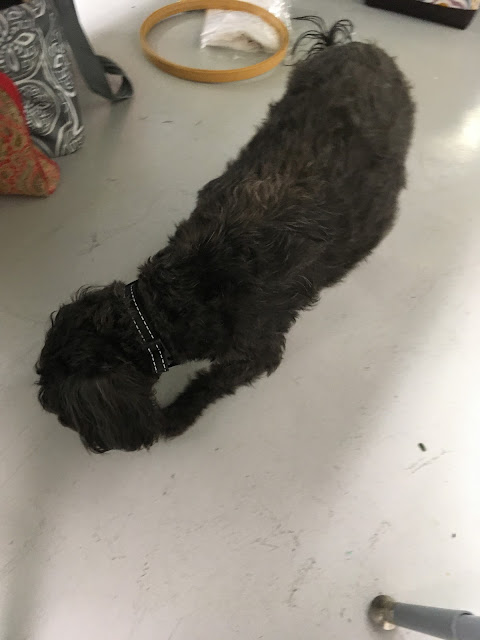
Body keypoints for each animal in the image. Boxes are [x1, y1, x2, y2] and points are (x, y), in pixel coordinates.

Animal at [36, 21, 415, 452]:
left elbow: (212, 381)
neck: (172, 300)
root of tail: (354, 46)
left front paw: (177, 414)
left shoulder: (257, 348)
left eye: (60, 410)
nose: (83, 439)